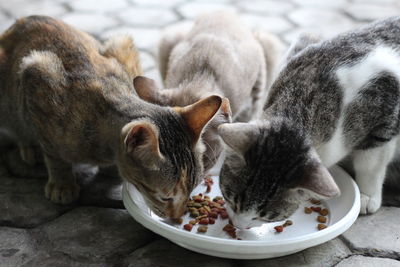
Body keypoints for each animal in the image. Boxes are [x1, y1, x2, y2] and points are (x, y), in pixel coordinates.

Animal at [0, 15, 223, 219]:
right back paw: (29, 146)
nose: (177, 218)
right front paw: (62, 182)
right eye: (165, 197)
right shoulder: (36, 75)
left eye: (192, 189)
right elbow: (54, 154)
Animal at [217, 16, 400, 229]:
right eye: (230, 198)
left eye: (265, 216)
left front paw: (367, 195)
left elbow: (371, 164)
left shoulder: (386, 115)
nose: (239, 225)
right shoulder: (303, 44)